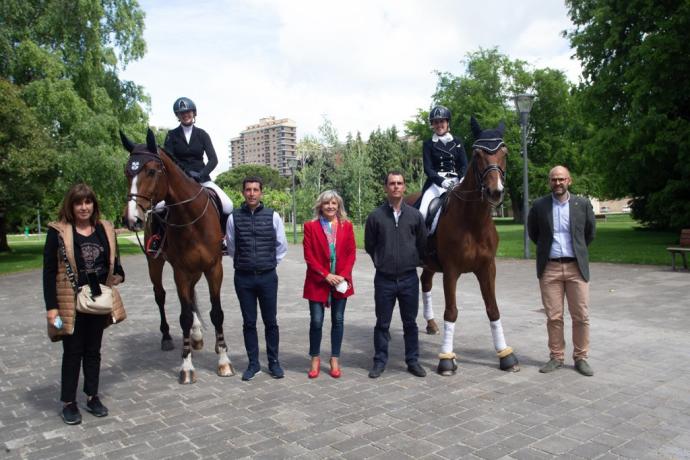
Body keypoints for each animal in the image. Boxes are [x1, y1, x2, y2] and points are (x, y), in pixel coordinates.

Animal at [120, 127, 234, 382]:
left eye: (151, 171)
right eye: (126, 172)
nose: (132, 219)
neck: (191, 217)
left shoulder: (214, 267)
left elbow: (217, 312)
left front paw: (223, 360)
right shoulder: (180, 271)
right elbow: (183, 316)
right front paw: (187, 366)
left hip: (195, 270)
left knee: (191, 296)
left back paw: (199, 335)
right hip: (156, 264)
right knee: (161, 296)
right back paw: (168, 338)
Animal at [404, 117, 516, 376]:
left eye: (504, 153)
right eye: (478, 154)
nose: (495, 192)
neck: (472, 221)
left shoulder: (487, 268)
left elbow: (493, 309)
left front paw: (505, 355)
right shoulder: (452, 270)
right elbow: (452, 312)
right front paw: (446, 359)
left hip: (430, 264)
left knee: (425, 283)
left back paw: (431, 324)